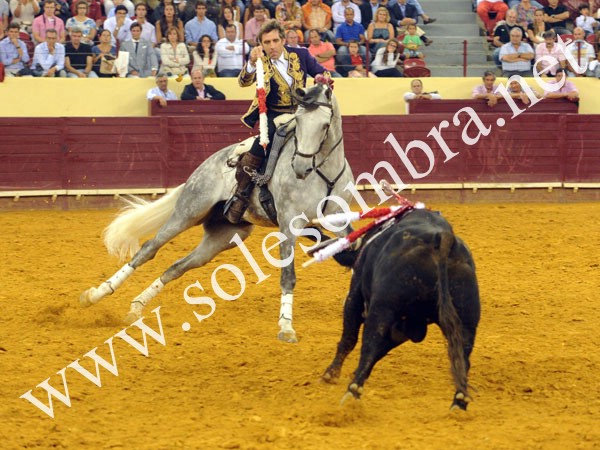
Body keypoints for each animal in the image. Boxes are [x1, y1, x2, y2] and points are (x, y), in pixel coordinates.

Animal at [80, 81, 354, 343]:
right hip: (189, 211)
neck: (323, 172)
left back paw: (136, 307)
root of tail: (203, 167)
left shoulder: (340, 221)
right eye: (298, 123)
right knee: (149, 249)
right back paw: (96, 294)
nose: (299, 167)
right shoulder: (288, 224)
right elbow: (288, 275)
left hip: (223, 235)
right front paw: (286, 328)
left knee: (177, 266)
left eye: (324, 125)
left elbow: (352, 247)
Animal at [321, 208, 481, 410]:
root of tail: (441, 239)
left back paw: (352, 391)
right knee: (463, 356)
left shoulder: (355, 297)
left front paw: (331, 374)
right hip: (466, 319)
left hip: (382, 310)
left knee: (369, 346)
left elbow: (350, 340)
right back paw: (459, 402)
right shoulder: (404, 328)